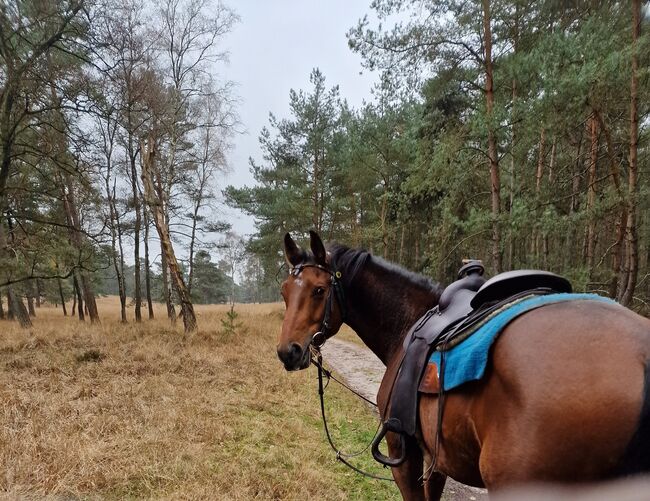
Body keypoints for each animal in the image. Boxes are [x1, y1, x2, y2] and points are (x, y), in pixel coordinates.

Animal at [276, 230, 648, 500]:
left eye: (319, 290)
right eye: (284, 291)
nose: (287, 352)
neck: (409, 323)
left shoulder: (403, 453)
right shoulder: (437, 457)